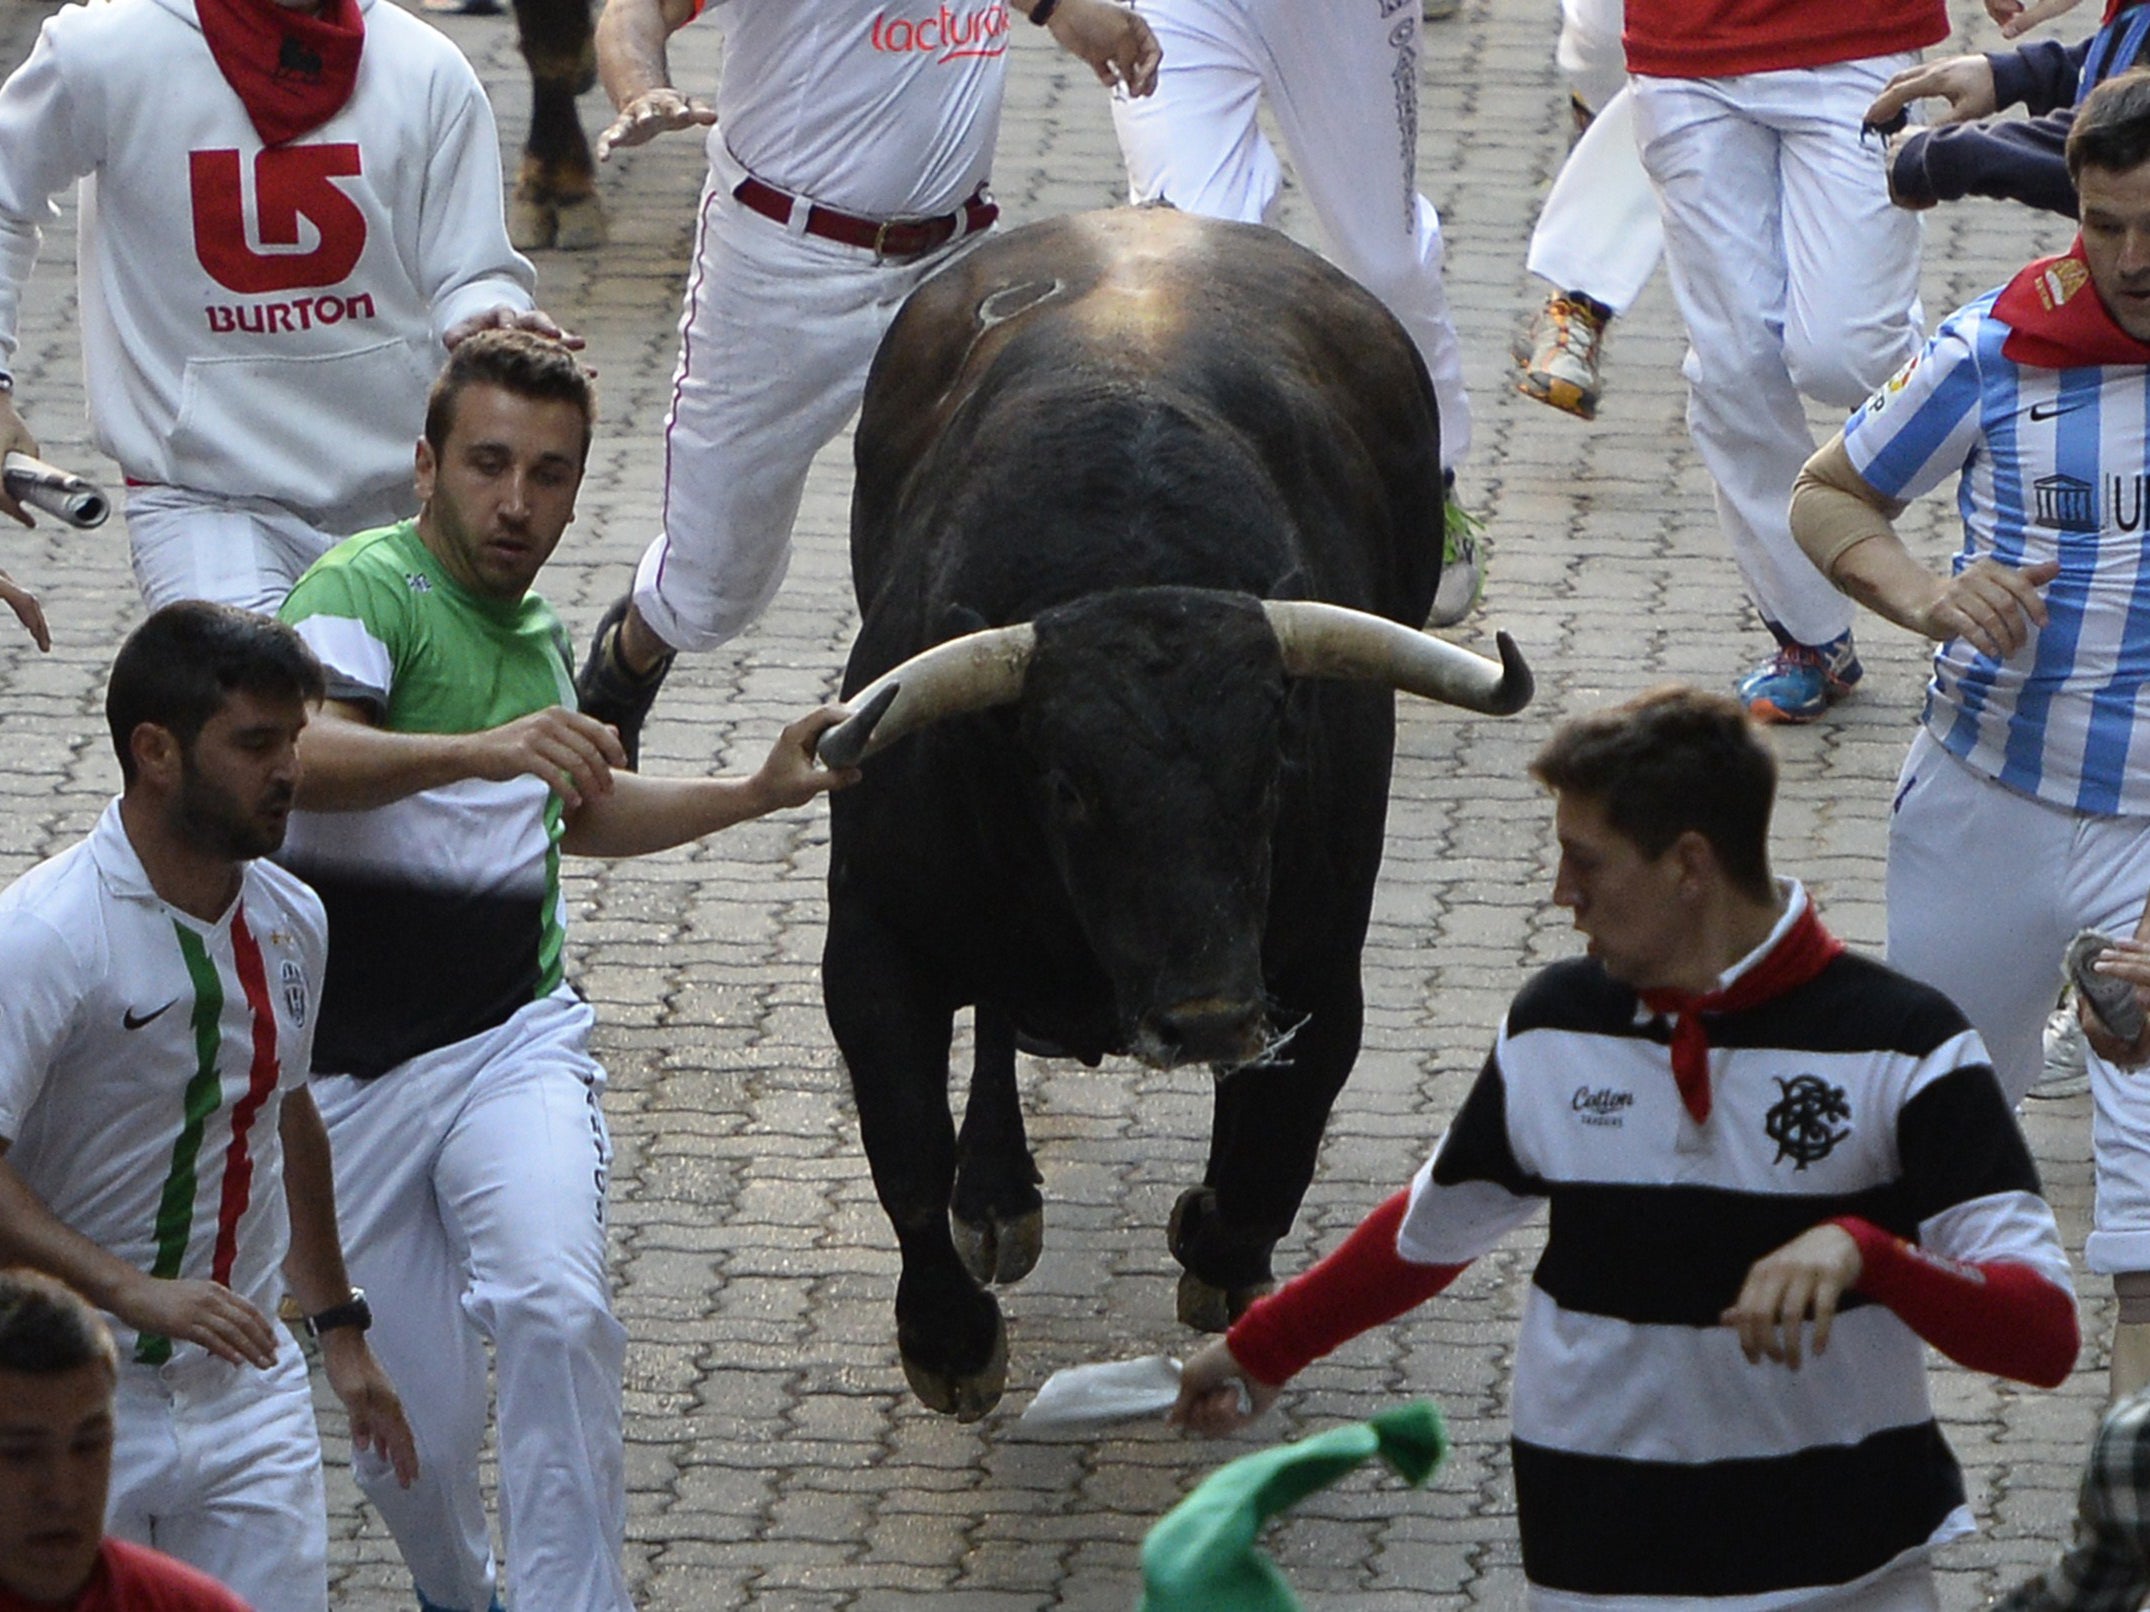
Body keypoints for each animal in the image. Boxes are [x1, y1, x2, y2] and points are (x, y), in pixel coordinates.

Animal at [817, 208, 1530, 1418]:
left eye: (1274, 761)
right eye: (1064, 783)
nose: (1204, 1017)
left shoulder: (1316, 958)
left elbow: (1275, 1145)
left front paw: (1217, 1246)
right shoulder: (873, 934)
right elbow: (903, 1145)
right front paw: (949, 1337)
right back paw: (998, 1192)